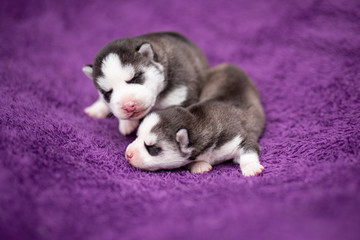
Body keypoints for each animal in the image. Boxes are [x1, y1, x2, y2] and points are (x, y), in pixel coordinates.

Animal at [125, 63, 266, 176]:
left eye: (151, 148)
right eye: (137, 136)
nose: (128, 154)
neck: (198, 120)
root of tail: (230, 65)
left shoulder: (238, 137)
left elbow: (249, 149)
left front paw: (251, 168)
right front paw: (199, 165)